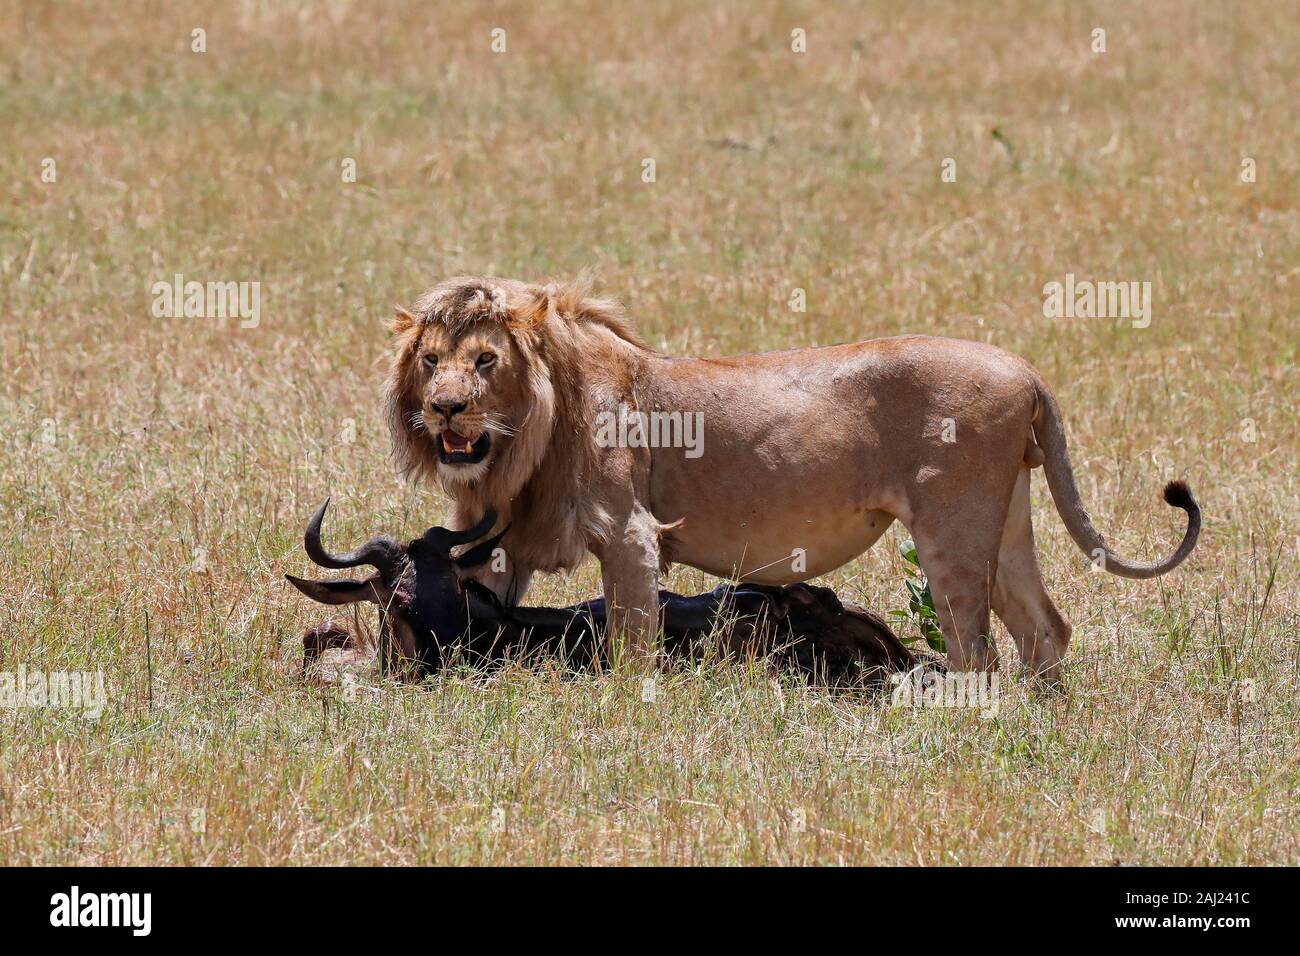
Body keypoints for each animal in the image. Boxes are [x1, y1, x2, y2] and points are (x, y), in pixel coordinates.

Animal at [385, 276, 1200, 680]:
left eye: (486, 361)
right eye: (430, 360)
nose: (445, 408)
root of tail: (1027, 370)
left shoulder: (631, 534)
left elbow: (631, 642)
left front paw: (629, 707)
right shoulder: (503, 544)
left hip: (954, 529)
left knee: (977, 650)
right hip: (1007, 526)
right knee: (1044, 630)